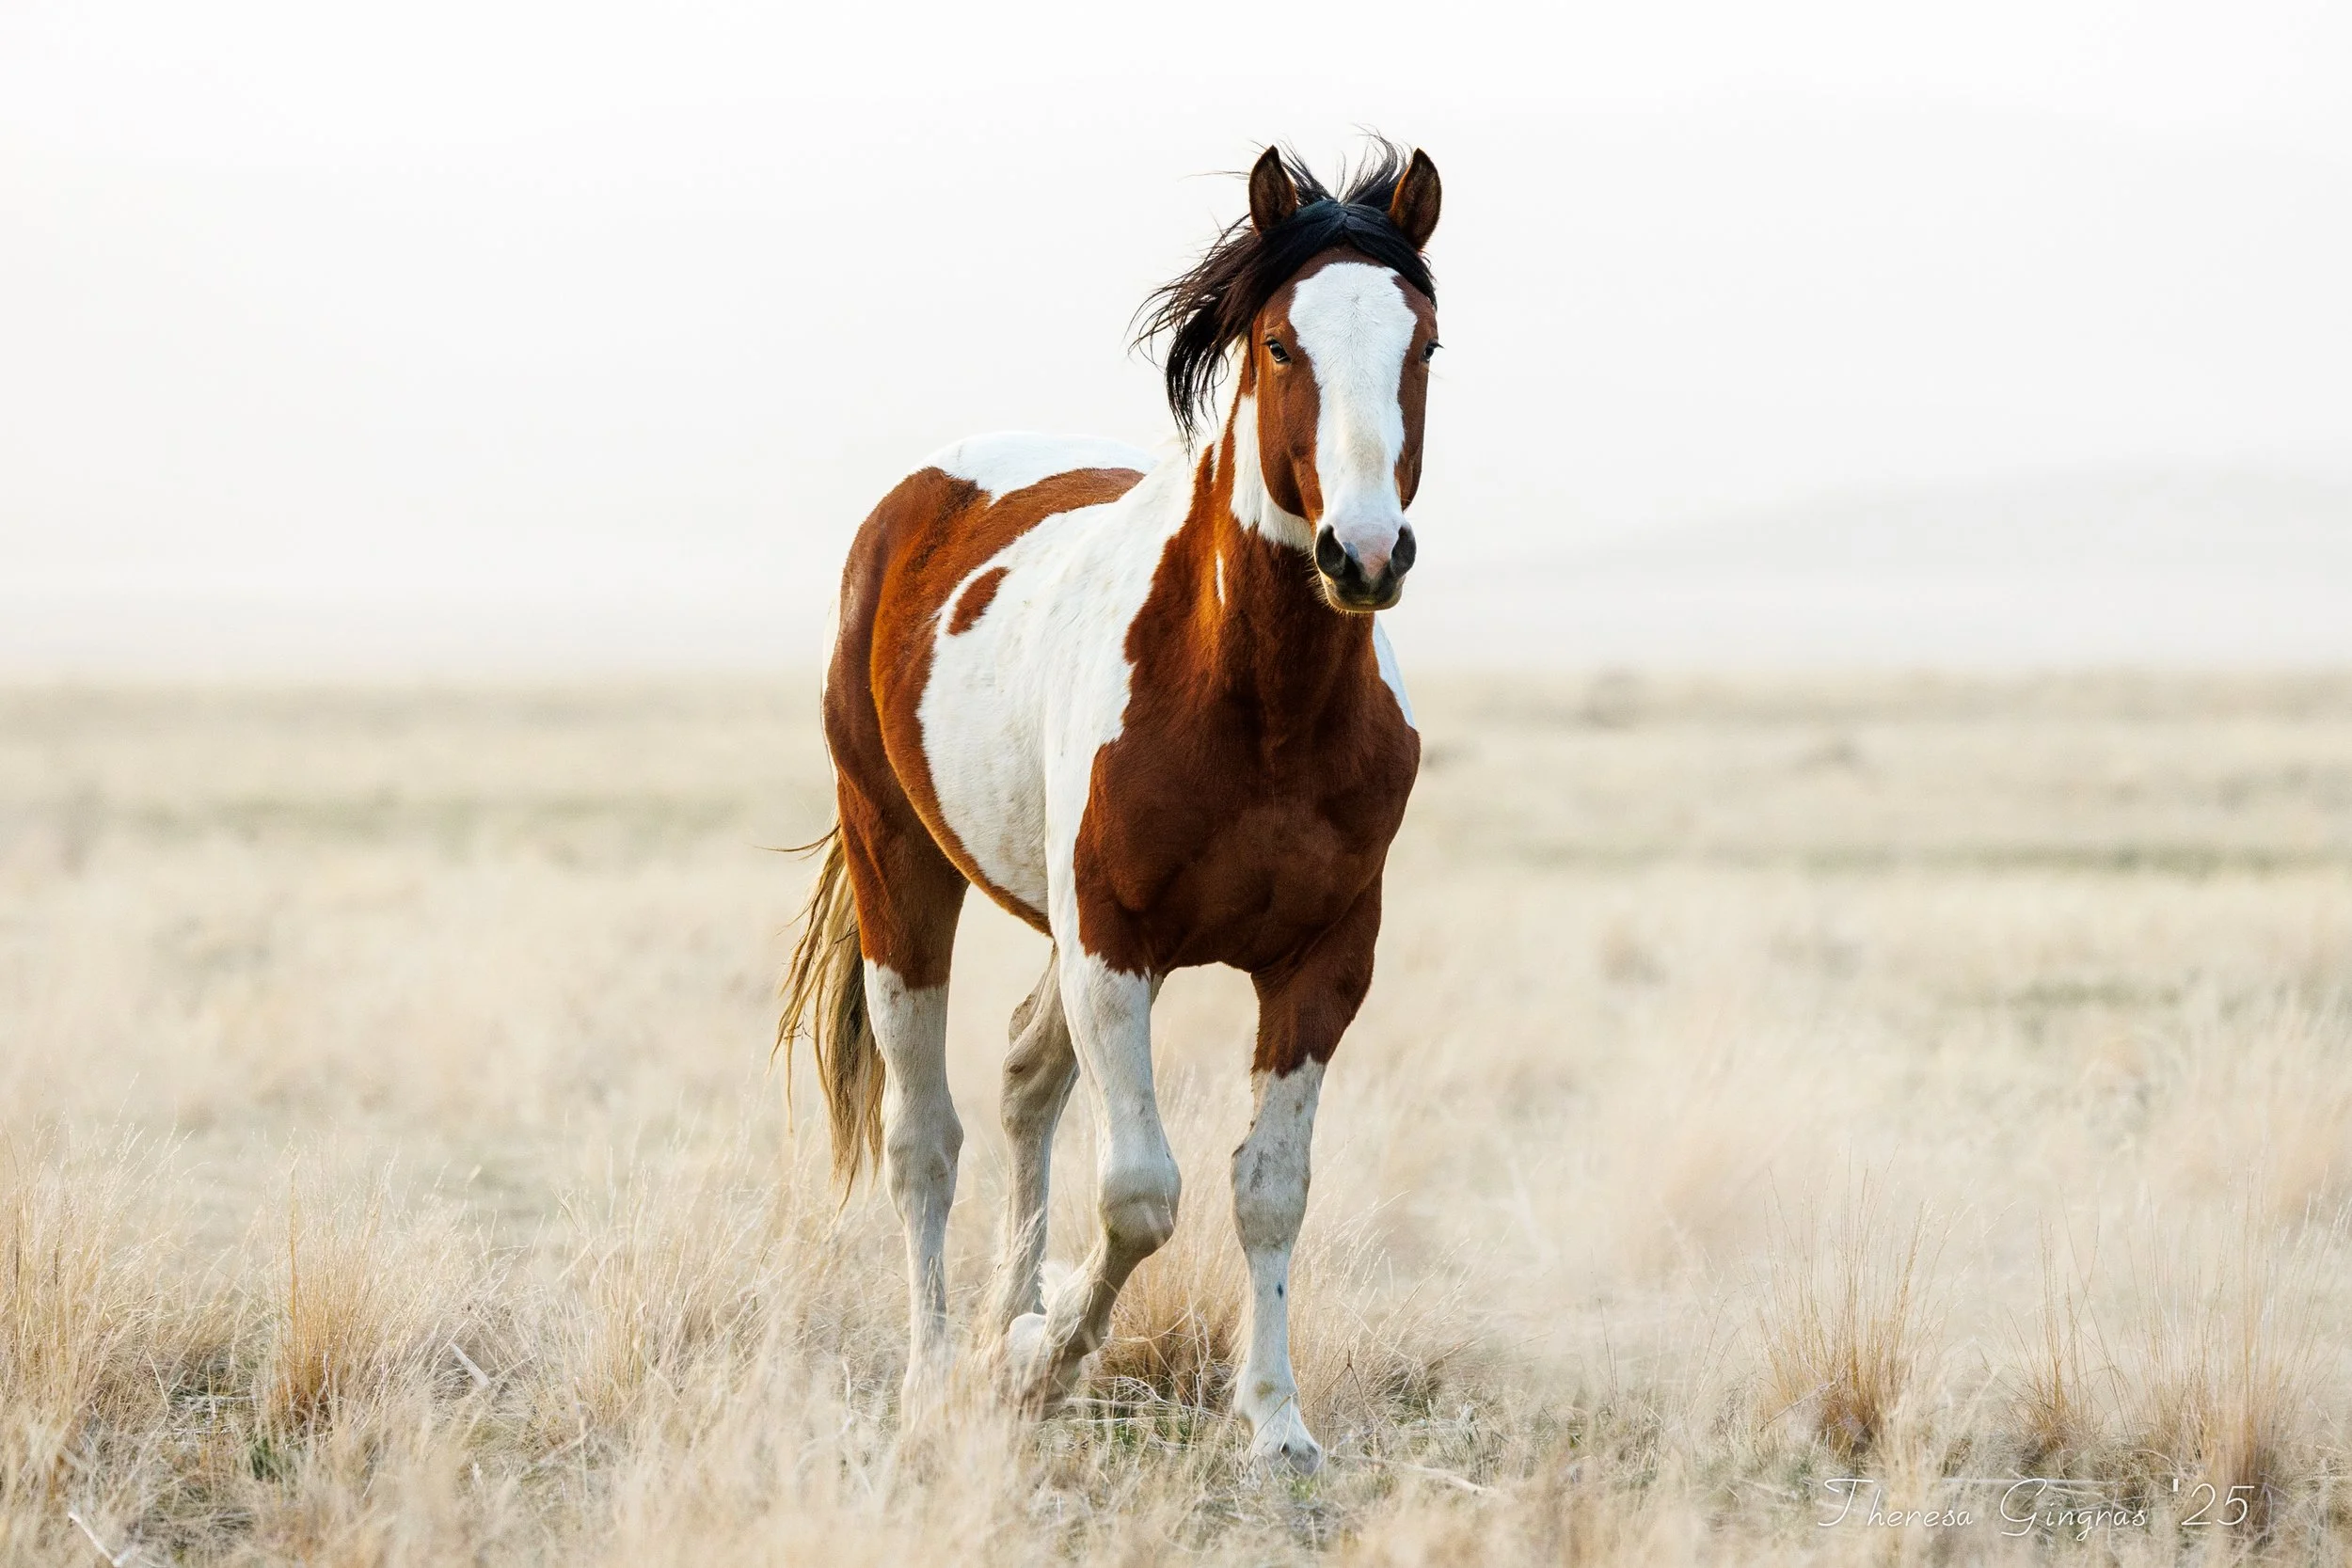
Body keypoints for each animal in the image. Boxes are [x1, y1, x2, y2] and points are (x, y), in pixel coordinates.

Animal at [780, 140, 1440, 1473]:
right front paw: (1040, 1358)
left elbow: (1267, 1187)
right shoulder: (1113, 947)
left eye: (1426, 344)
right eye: (1280, 342)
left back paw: (999, 1319)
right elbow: (1140, 1192)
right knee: (924, 1138)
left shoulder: (1324, 961)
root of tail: (923, 493)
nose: (1361, 554)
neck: (1259, 704)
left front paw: (1276, 1421)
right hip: (899, 870)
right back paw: (938, 1371)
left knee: (1026, 1078)